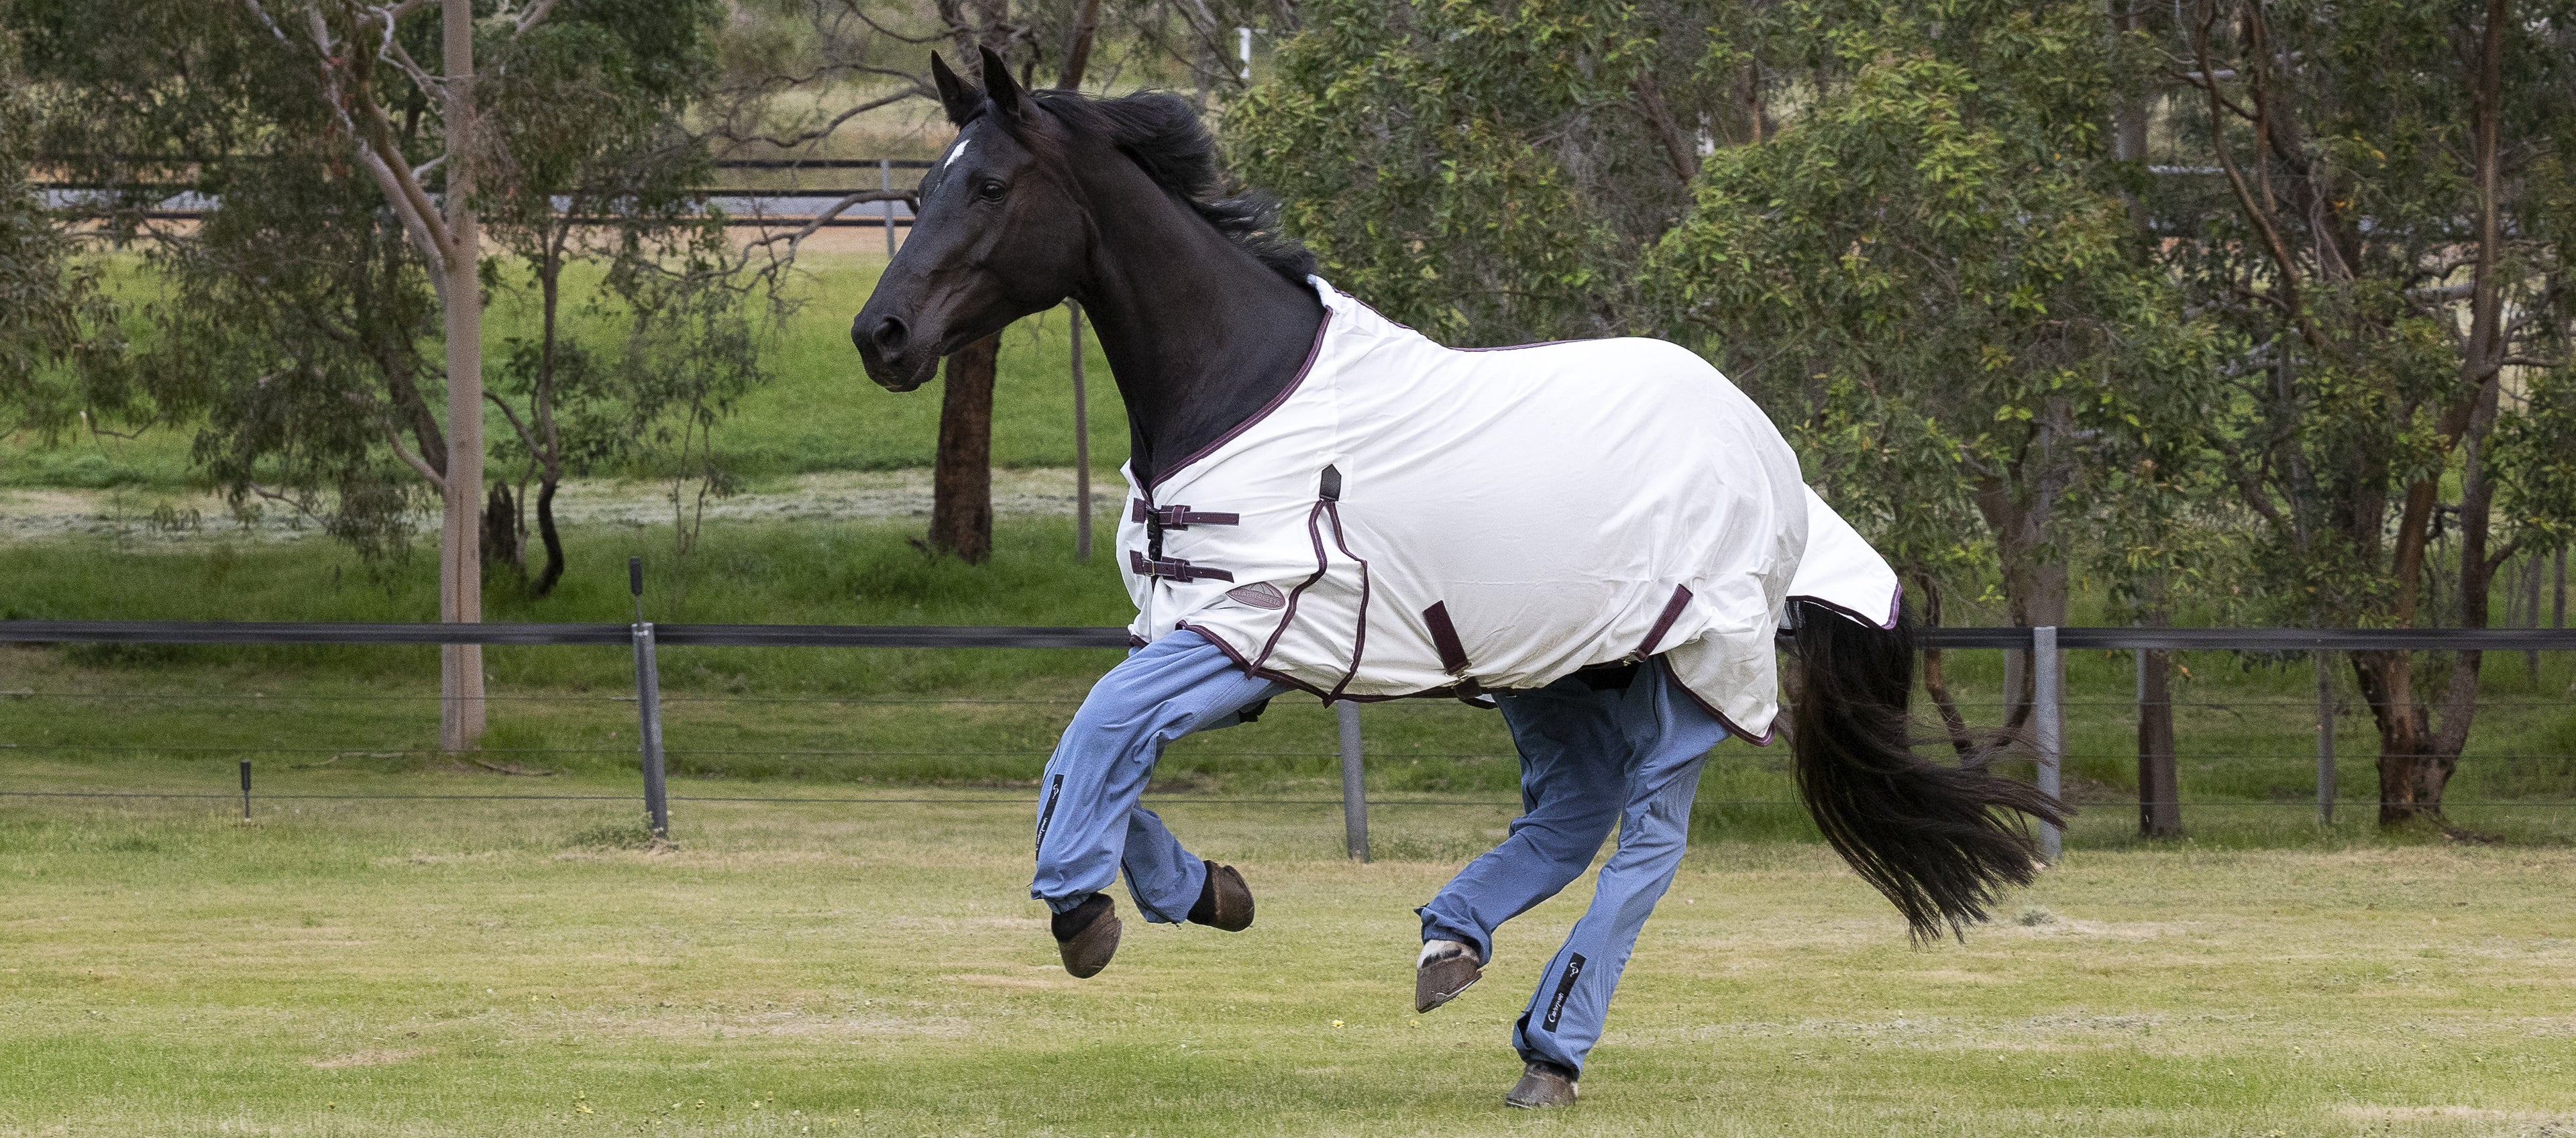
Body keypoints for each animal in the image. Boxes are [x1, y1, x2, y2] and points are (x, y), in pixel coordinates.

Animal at [855, 48, 2061, 1106]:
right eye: (921, 186)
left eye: (992, 184)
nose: (882, 335)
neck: (1236, 386)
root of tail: (1768, 447)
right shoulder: (1182, 632)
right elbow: (1086, 761)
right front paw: (1210, 892)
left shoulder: (1255, 630)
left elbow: (1100, 735)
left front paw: (1086, 916)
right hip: (1556, 668)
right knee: (1572, 815)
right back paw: (1451, 941)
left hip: (1693, 671)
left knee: (1645, 846)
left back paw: (1550, 1051)